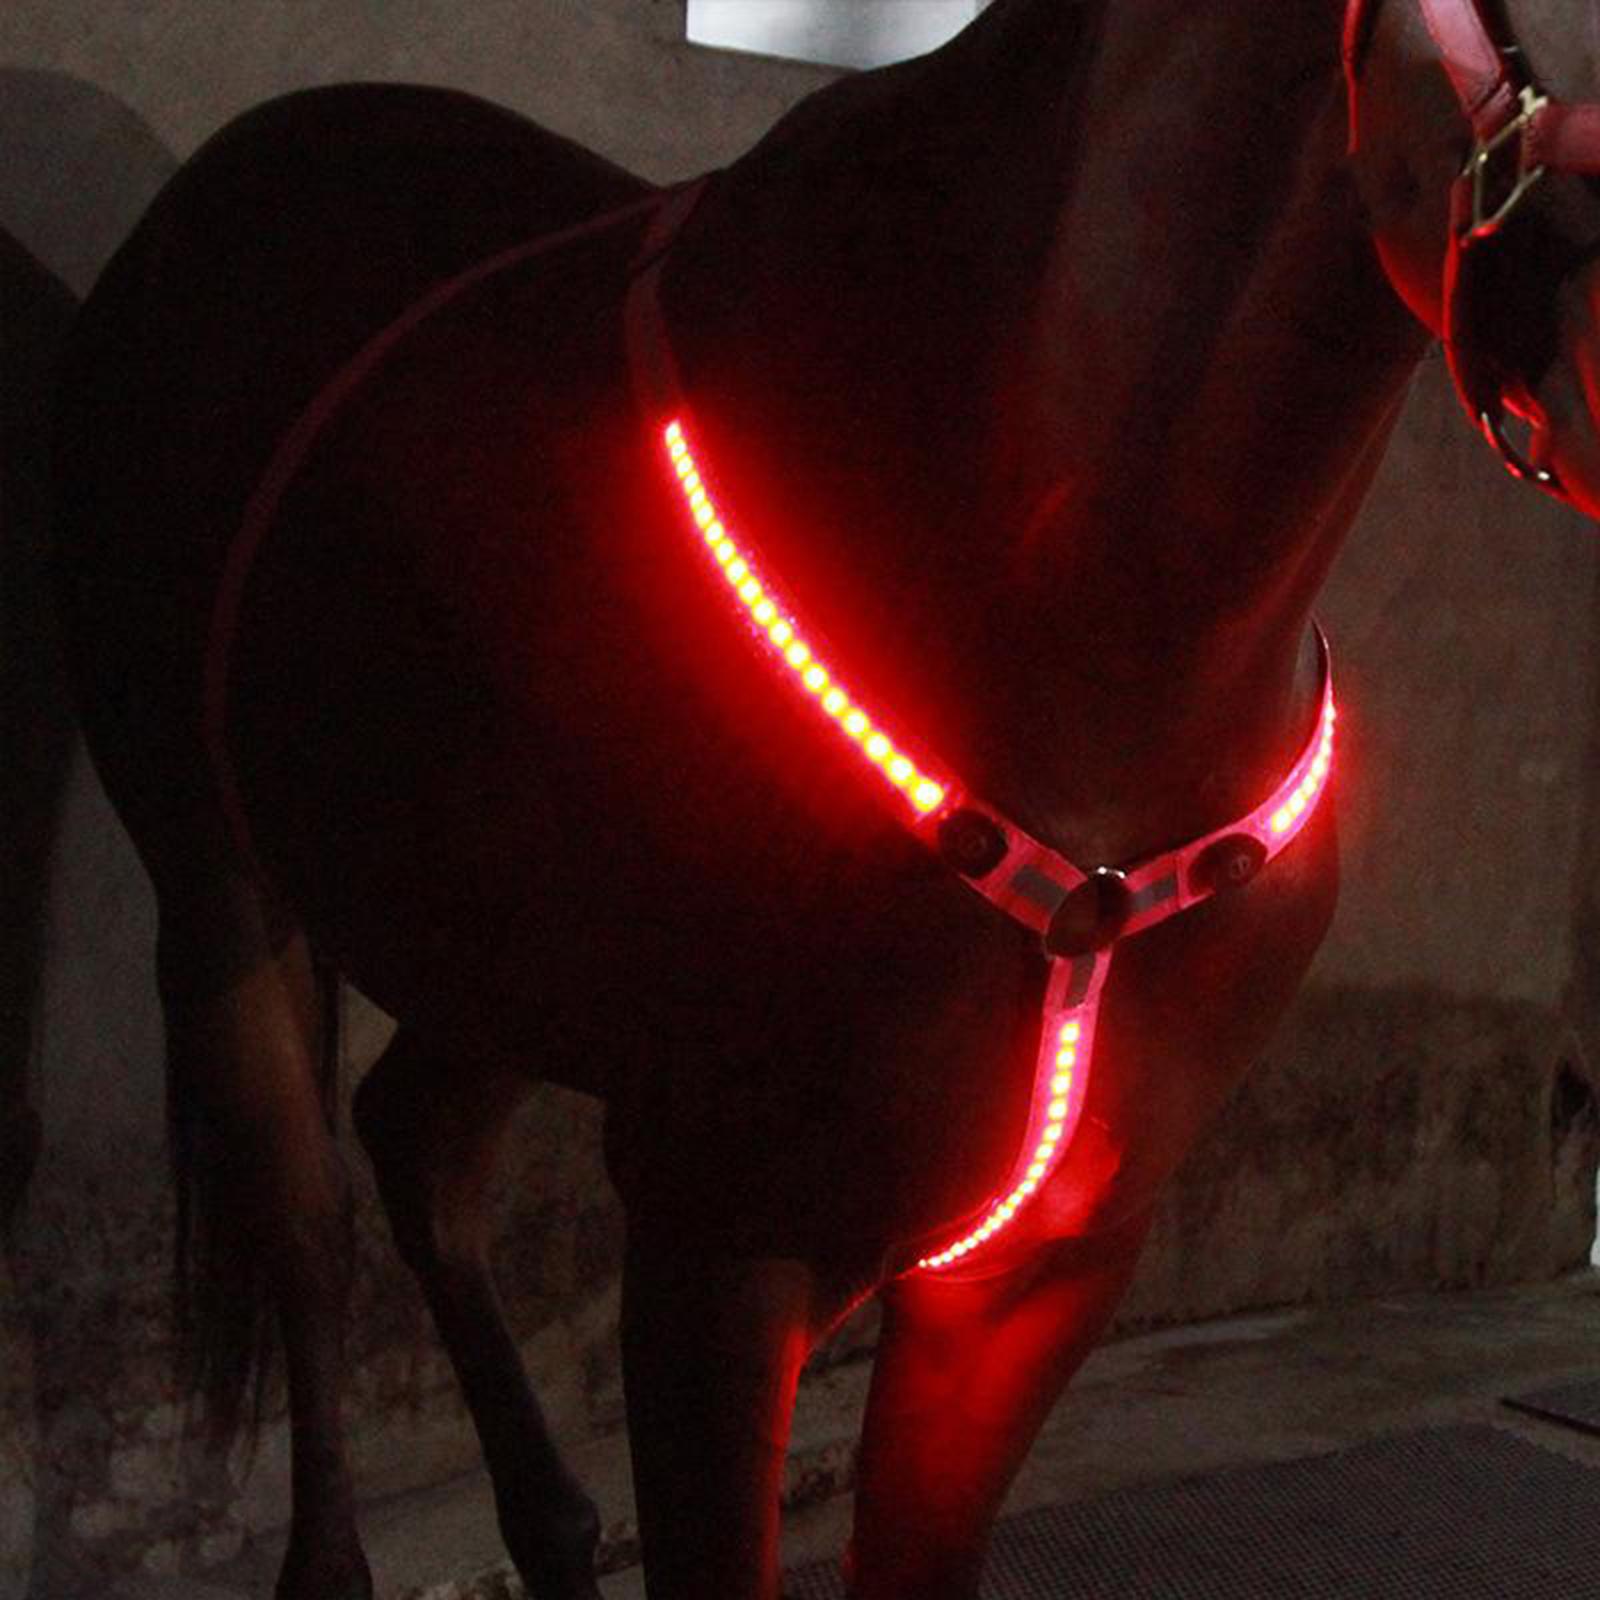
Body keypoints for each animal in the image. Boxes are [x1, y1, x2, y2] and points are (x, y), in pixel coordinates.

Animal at [48, 0, 1600, 1596]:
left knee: (416, 1140)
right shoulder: (722, 1237)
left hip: (494, 956)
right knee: (304, 1215)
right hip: (213, 876)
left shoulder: (1039, 1274)